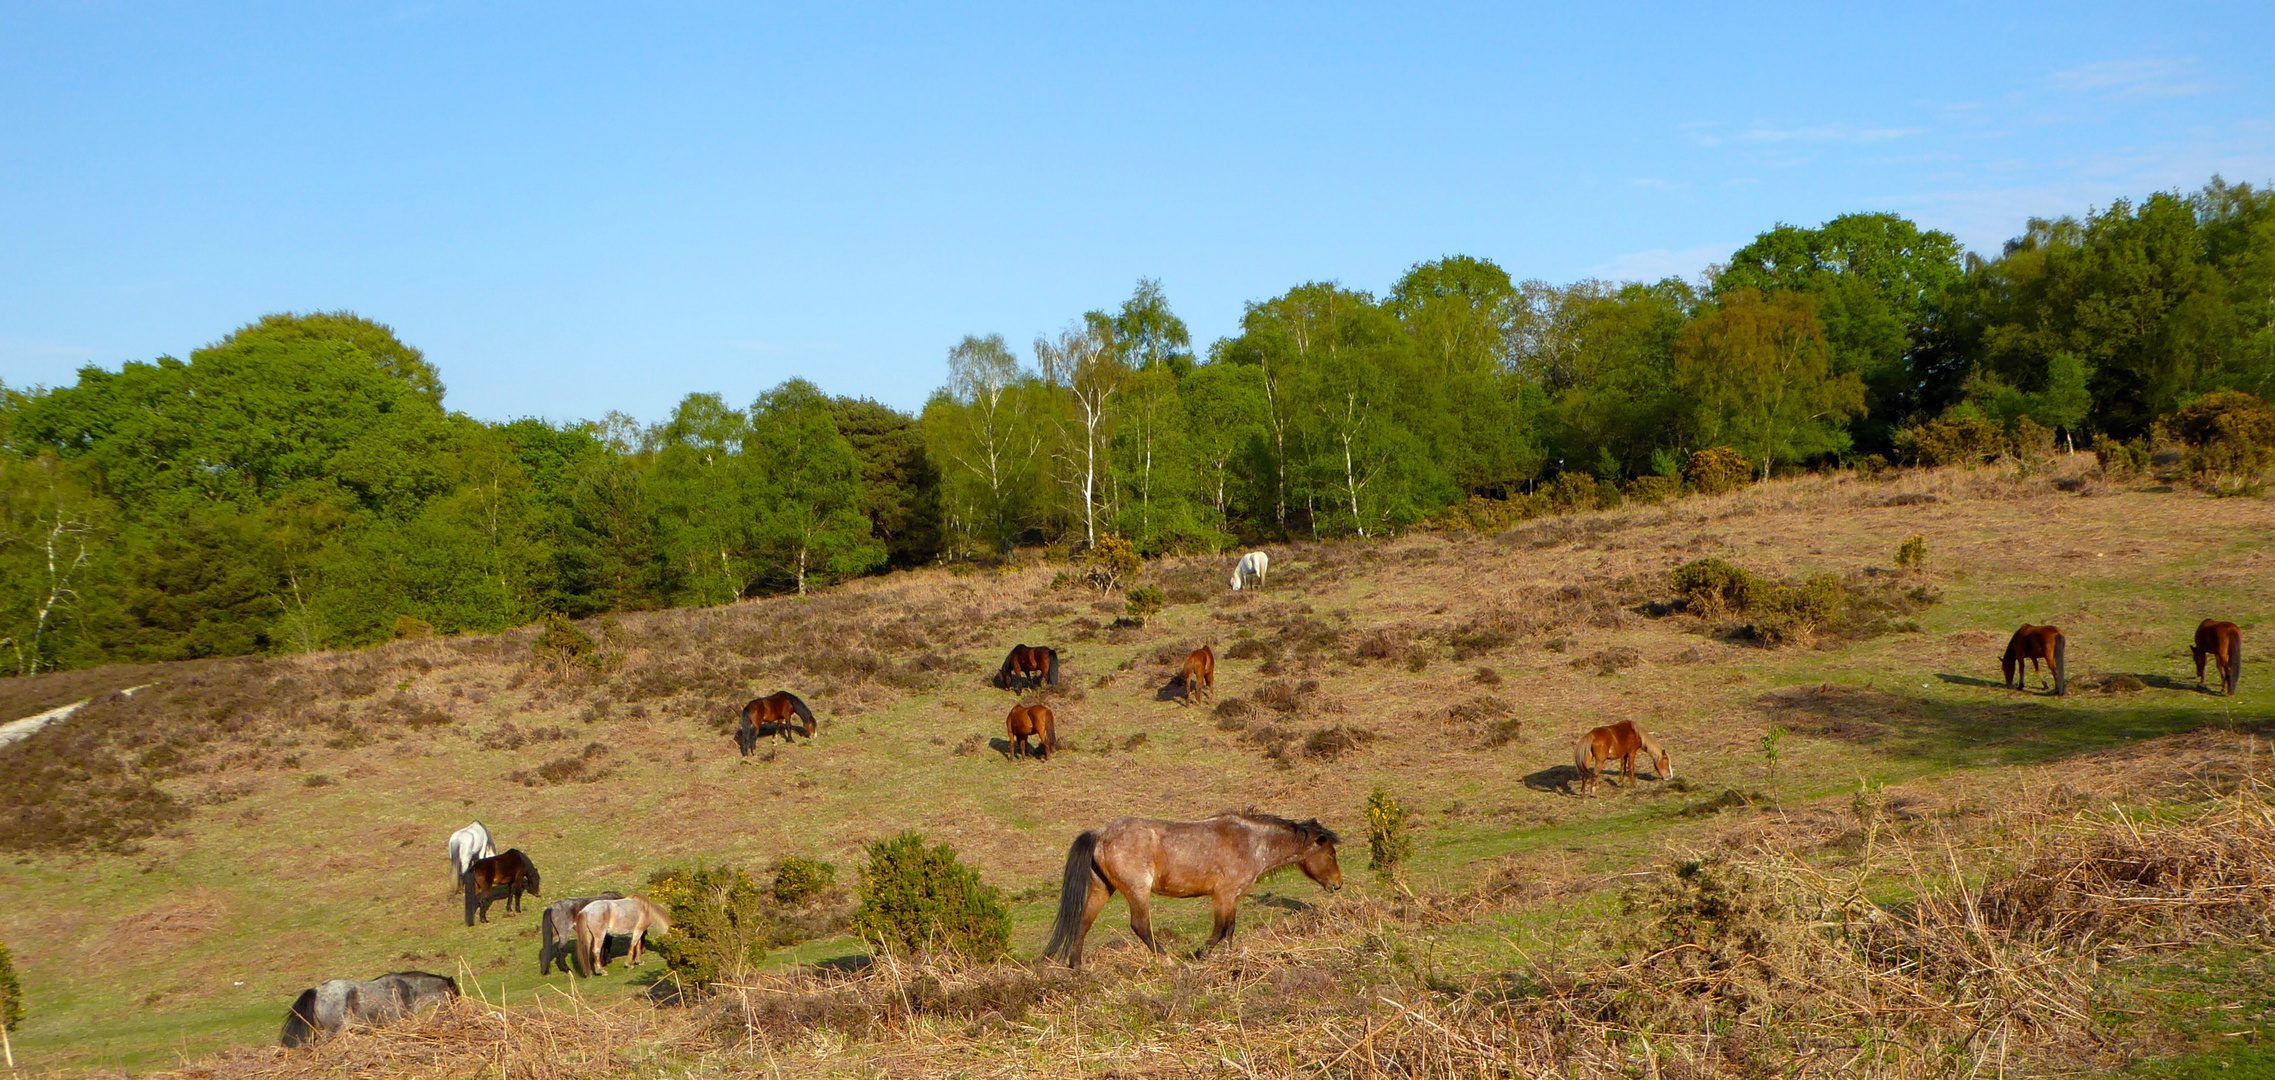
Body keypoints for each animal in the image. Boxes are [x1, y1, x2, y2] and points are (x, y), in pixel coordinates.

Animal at [1041, 809, 1337, 973]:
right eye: (1330, 854)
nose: (1337, 883)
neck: (1251, 841)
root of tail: (1100, 834)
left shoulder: (1232, 898)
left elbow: (1229, 930)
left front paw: (1229, 959)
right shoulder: (1224, 895)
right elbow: (1220, 930)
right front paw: (1199, 955)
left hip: (1103, 888)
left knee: (1084, 921)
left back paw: (1077, 966)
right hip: (1138, 890)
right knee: (1140, 925)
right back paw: (1169, 961)